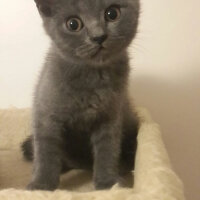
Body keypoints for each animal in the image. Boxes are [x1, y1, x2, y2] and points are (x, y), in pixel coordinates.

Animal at [21, 0, 140, 191]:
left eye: (112, 13)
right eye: (73, 24)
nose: (98, 36)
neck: (93, 75)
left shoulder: (111, 115)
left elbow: (108, 149)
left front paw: (108, 183)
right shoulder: (46, 115)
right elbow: (45, 151)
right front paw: (41, 185)